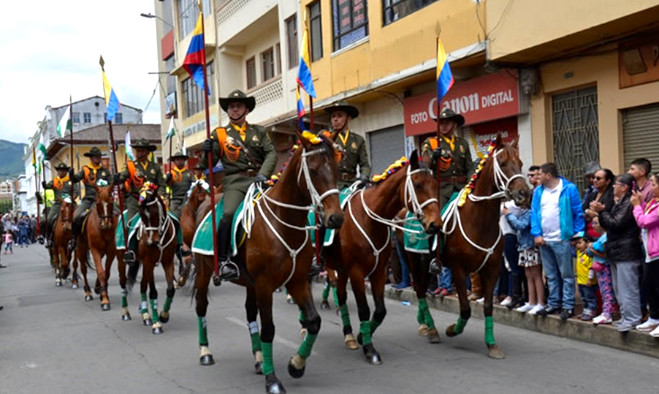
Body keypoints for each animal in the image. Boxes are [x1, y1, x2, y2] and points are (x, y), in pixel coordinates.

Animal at [127, 183, 179, 334]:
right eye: (141, 215)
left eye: (156, 212)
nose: (151, 242)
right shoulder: (148, 261)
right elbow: (153, 292)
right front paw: (156, 323)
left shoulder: (168, 261)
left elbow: (170, 289)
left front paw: (164, 315)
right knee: (142, 286)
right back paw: (142, 315)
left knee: (144, 284)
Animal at [192, 132, 342, 394]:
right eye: (313, 171)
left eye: (335, 167)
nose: (336, 218)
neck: (285, 222)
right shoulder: (265, 284)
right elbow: (269, 329)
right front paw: (272, 380)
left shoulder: (297, 280)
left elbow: (313, 322)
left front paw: (296, 364)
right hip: (204, 271)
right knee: (202, 307)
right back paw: (205, 352)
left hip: (249, 283)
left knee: (250, 313)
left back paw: (259, 359)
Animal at [324, 151, 440, 364]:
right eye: (418, 184)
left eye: (434, 184)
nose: (435, 224)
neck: (370, 219)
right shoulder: (357, 272)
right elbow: (364, 309)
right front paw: (370, 349)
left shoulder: (379, 270)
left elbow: (380, 311)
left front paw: (363, 336)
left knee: (341, 295)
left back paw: (349, 334)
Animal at [422, 136, 532, 360]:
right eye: (503, 163)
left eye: (520, 162)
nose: (524, 194)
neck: (479, 221)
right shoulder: (458, 269)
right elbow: (465, 309)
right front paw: (452, 330)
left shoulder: (491, 269)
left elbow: (488, 307)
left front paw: (492, 345)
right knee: (419, 292)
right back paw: (431, 329)